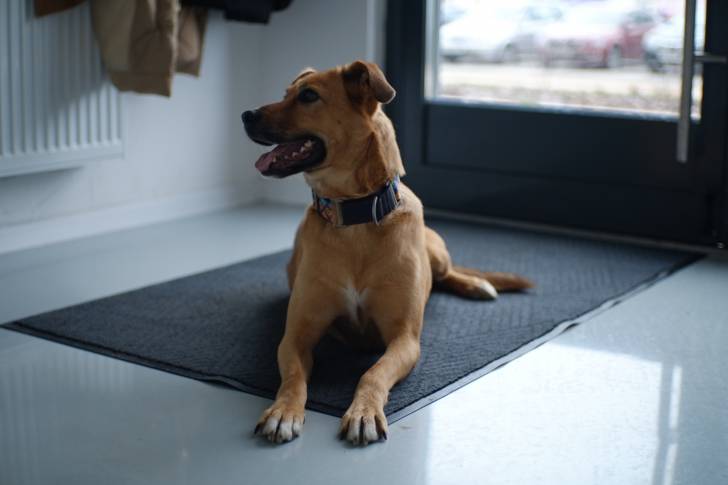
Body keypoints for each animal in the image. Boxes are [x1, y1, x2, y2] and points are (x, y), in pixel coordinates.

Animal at [242, 60, 532, 446]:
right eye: (286, 93)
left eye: (308, 96)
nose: (245, 115)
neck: (355, 218)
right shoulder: (295, 336)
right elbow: (293, 378)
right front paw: (284, 412)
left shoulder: (404, 340)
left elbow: (373, 373)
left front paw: (364, 412)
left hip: (437, 252)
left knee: (447, 274)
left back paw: (476, 285)